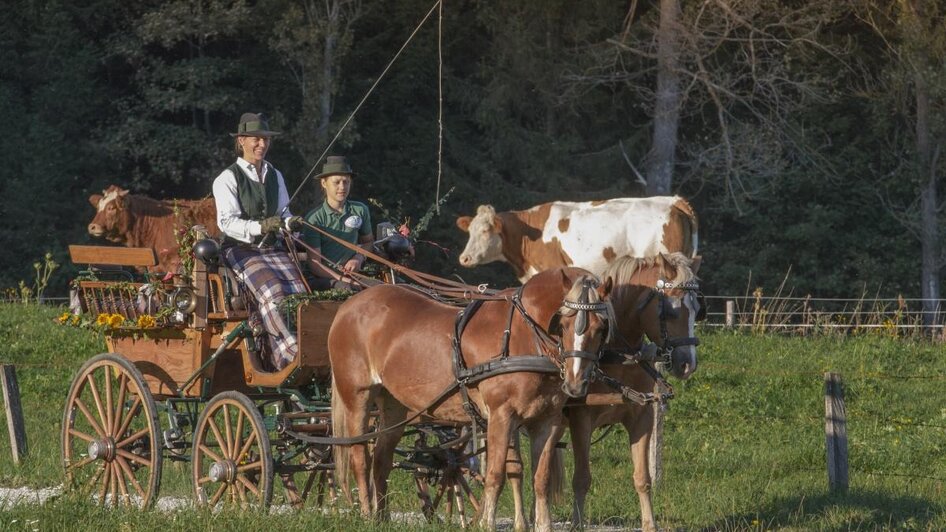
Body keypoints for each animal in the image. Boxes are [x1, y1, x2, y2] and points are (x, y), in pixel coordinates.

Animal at [330, 268, 612, 528]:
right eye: (562, 325)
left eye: (601, 328)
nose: (576, 383)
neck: (522, 335)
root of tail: (349, 305)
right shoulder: (501, 416)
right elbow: (495, 476)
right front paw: (487, 523)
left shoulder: (547, 420)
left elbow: (540, 479)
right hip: (357, 398)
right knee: (360, 458)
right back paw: (367, 515)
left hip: (394, 406)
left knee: (381, 460)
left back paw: (382, 518)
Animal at [564, 252, 696, 532]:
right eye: (671, 310)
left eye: (698, 309)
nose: (687, 364)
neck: (615, 354)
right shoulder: (581, 421)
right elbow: (581, 478)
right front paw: (577, 523)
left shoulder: (641, 419)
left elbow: (642, 477)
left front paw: (650, 523)